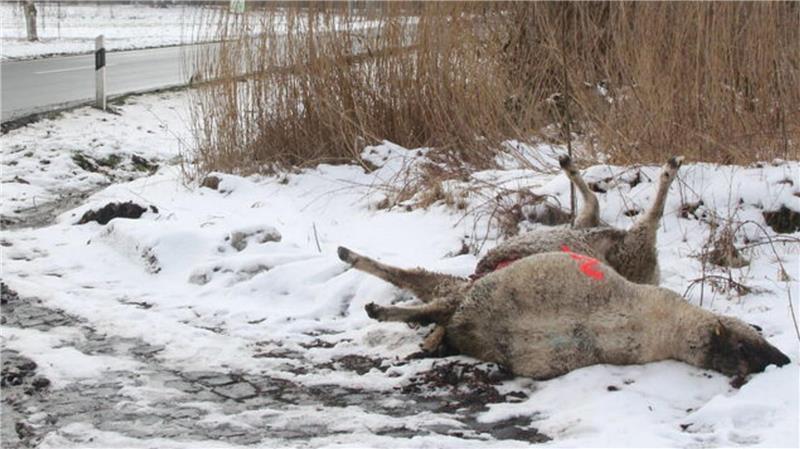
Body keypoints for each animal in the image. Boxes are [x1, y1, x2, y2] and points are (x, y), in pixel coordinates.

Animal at [340, 248, 790, 380]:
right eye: (748, 343)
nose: (783, 361)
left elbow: (446, 325)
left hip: (469, 298)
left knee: (434, 305)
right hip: (475, 289)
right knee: (426, 293)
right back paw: (368, 289)